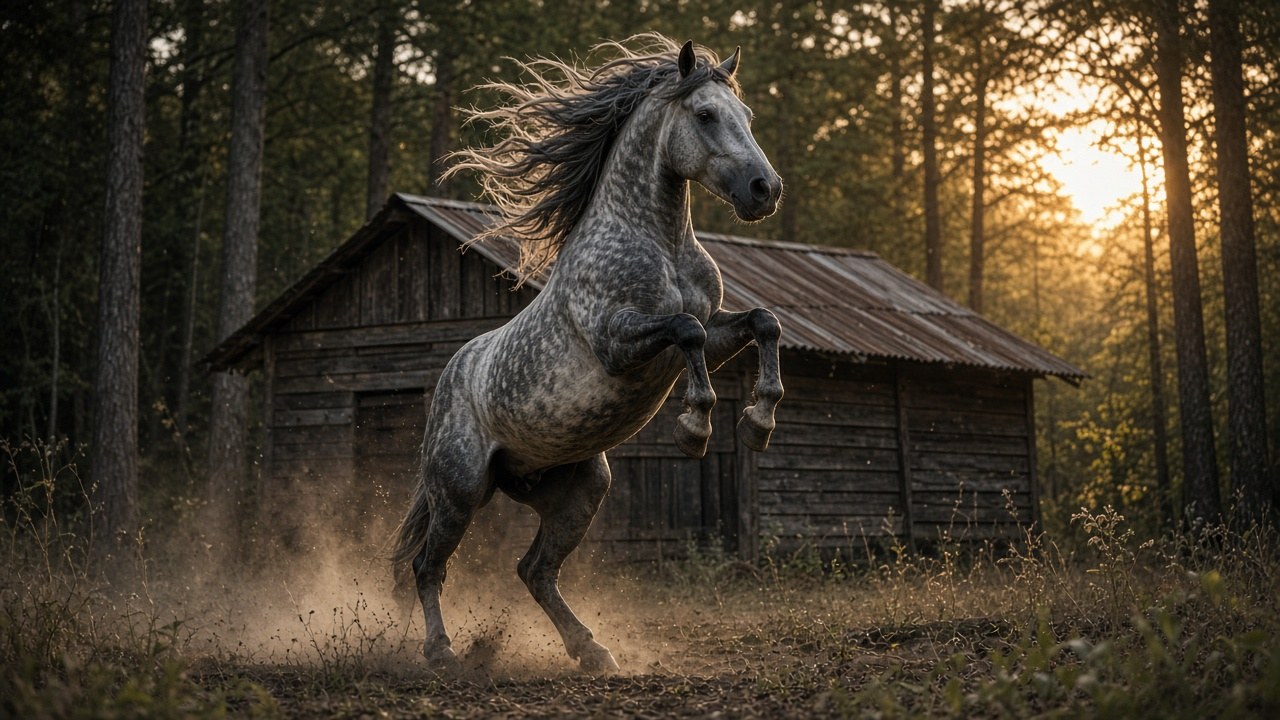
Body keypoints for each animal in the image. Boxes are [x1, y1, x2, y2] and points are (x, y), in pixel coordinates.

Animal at [392, 34, 784, 673]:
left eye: (746, 117)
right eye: (705, 115)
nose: (764, 190)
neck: (658, 242)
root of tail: (448, 382)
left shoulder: (718, 327)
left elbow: (761, 322)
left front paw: (758, 423)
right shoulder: (617, 341)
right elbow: (686, 332)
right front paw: (694, 429)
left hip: (580, 490)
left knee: (534, 571)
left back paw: (592, 650)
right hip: (460, 490)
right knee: (429, 566)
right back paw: (443, 653)